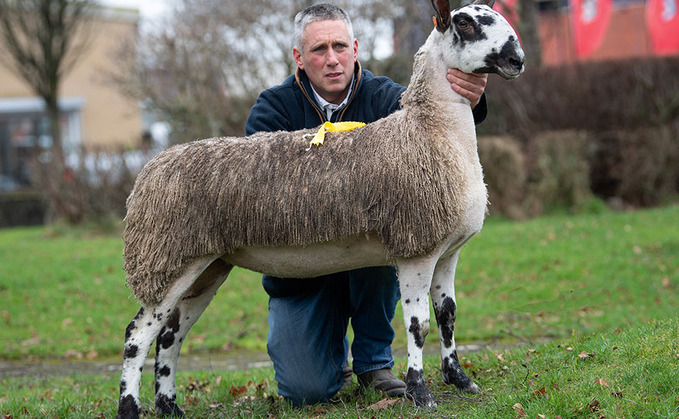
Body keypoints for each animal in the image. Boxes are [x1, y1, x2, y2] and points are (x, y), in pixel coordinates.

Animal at [115, 0, 524, 416]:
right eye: (465, 23)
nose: (517, 59)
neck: (431, 131)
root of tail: (149, 171)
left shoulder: (447, 251)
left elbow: (448, 315)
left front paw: (460, 380)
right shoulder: (417, 249)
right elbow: (418, 325)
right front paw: (420, 392)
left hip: (207, 266)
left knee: (170, 335)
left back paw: (169, 406)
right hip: (167, 260)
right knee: (138, 335)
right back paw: (130, 407)